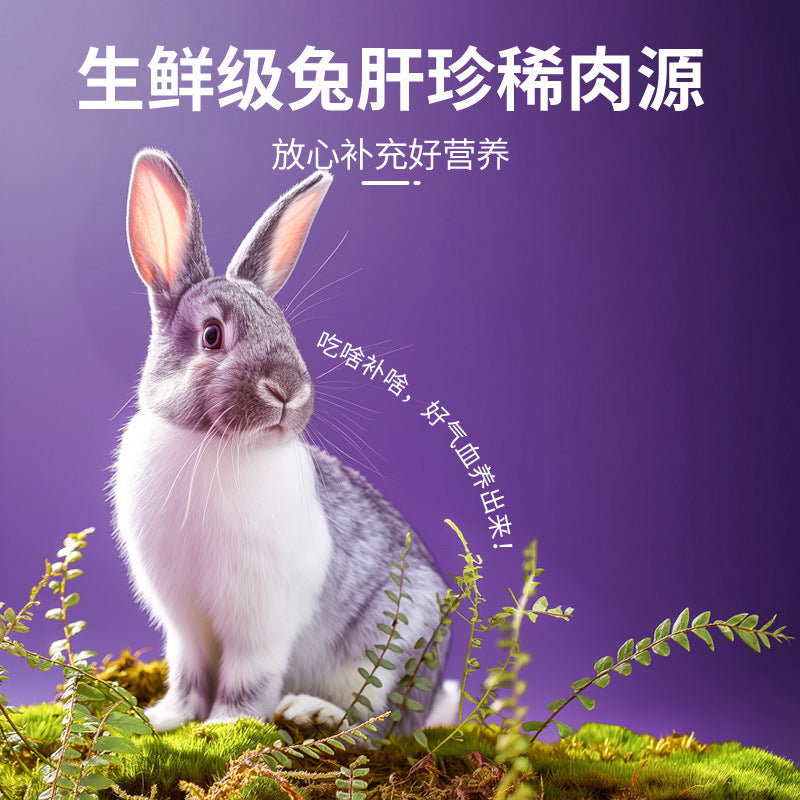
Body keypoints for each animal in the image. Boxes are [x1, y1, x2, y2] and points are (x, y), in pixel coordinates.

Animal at [111, 148, 452, 734]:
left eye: (284, 329)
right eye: (211, 335)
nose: (288, 391)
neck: (216, 443)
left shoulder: (261, 621)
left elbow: (248, 679)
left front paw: (225, 726)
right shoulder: (184, 622)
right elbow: (188, 673)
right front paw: (167, 719)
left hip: (390, 650)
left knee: (376, 725)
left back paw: (312, 711)